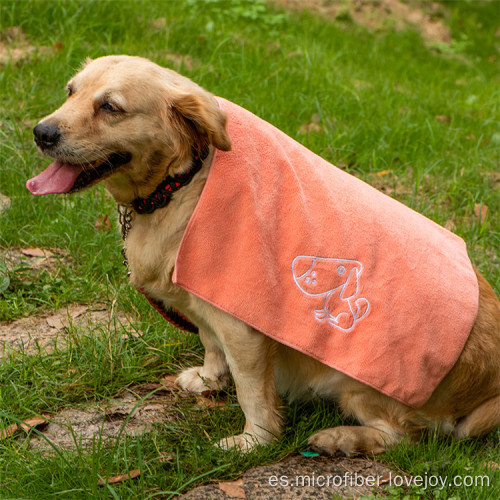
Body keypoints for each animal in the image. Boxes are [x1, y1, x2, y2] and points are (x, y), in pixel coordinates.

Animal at [28, 55, 500, 458]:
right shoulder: (204, 304)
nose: (41, 132)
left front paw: (255, 441)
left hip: (361, 386)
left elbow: (251, 393)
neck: (183, 183)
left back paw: (341, 438)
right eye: (70, 91)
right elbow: (209, 343)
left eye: (110, 107)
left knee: (406, 438)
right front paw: (208, 378)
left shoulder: (244, 326)